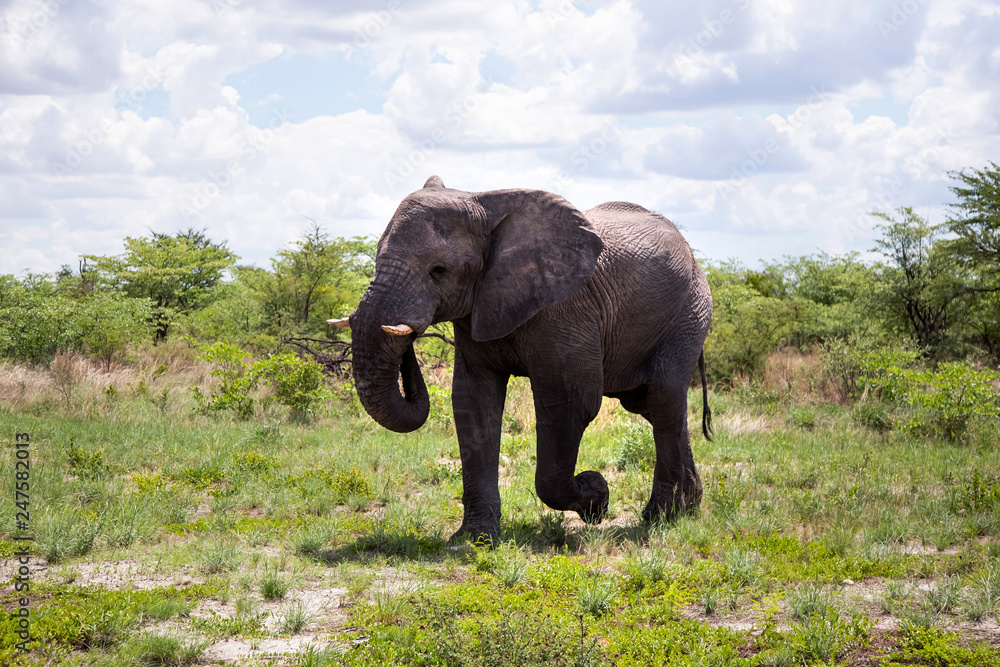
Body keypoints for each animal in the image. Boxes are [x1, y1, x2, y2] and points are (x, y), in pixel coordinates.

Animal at [343, 176, 712, 544]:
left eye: (439, 270)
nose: (407, 336)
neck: (484, 204)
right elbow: (473, 402)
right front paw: (475, 539)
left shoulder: (564, 310)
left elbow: (570, 404)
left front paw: (596, 496)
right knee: (653, 406)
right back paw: (688, 508)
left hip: (689, 315)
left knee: (663, 400)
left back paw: (660, 516)